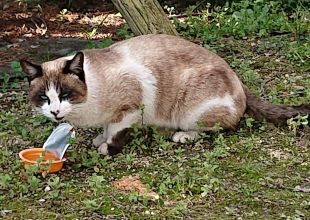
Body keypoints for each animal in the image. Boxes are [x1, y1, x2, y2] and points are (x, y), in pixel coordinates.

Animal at [20, 34, 310, 155]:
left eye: (65, 94)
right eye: (44, 98)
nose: (55, 112)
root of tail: (237, 76)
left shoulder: (129, 109)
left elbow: (115, 132)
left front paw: (106, 147)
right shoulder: (110, 115)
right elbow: (105, 127)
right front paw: (99, 138)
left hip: (189, 110)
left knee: (220, 127)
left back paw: (181, 135)